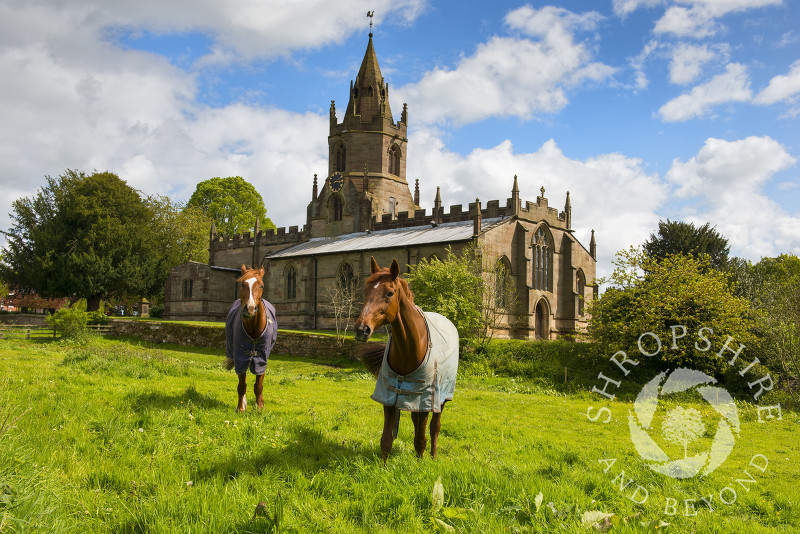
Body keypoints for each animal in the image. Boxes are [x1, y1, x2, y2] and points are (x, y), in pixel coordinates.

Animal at [223, 266, 276, 412]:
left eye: (261, 285)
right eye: (242, 284)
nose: (250, 308)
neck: (254, 328)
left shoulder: (261, 358)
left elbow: (258, 386)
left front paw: (260, 408)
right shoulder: (240, 356)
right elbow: (242, 385)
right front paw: (240, 408)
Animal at [354, 258, 460, 460]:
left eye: (389, 292)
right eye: (366, 290)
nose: (361, 329)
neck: (410, 348)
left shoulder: (426, 399)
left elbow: (421, 439)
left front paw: (420, 463)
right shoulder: (389, 396)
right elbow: (386, 440)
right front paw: (383, 465)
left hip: (441, 398)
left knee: (435, 427)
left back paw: (433, 456)